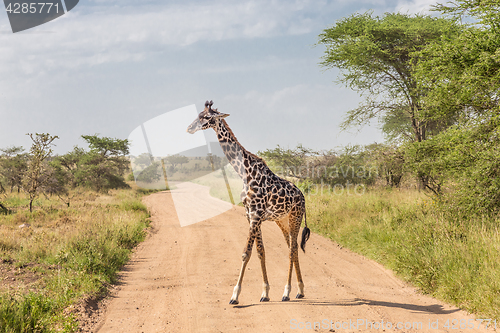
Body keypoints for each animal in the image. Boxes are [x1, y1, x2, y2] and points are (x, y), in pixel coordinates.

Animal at [188, 99, 310, 304]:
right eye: (198, 115)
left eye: (205, 117)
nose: (189, 128)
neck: (244, 172)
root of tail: (302, 197)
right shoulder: (250, 215)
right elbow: (260, 251)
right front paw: (265, 293)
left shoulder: (256, 215)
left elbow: (246, 252)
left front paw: (235, 296)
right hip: (282, 220)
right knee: (292, 248)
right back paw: (299, 290)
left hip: (295, 217)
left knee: (292, 249)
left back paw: (287, 292)